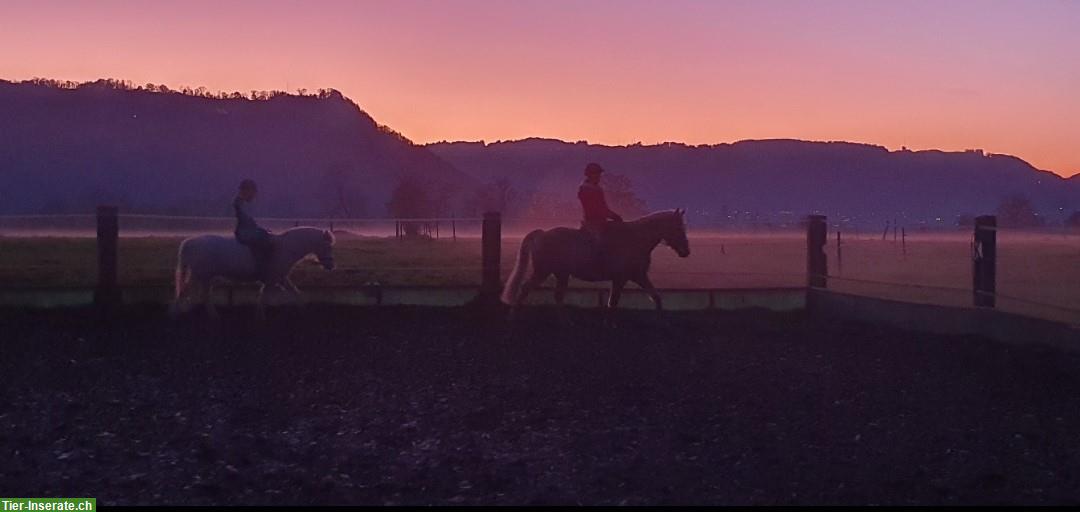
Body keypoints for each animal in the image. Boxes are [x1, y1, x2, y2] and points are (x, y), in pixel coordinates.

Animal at [168, 226, 334, 315]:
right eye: (327, 246)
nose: (331, 266)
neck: (284, 248)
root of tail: (189, 242)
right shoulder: (273, 280)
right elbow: (264, 299)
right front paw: (260, 319)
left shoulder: (280, 278)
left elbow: (295, 294)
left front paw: (304, 310)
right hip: (199, 275)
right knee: (185, 292)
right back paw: (175, 315)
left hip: (205, 277)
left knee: (203, 296)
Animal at [498, 209, 686, 308]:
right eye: (679, 227)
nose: (686, 251)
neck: (636, 238)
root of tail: (542, 234)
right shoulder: (622, 278)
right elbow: (613, 303)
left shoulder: (637, 276)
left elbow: (656, 298)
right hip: (543, 271)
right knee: (526, 289)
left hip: (560, 274)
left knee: (557, 296)